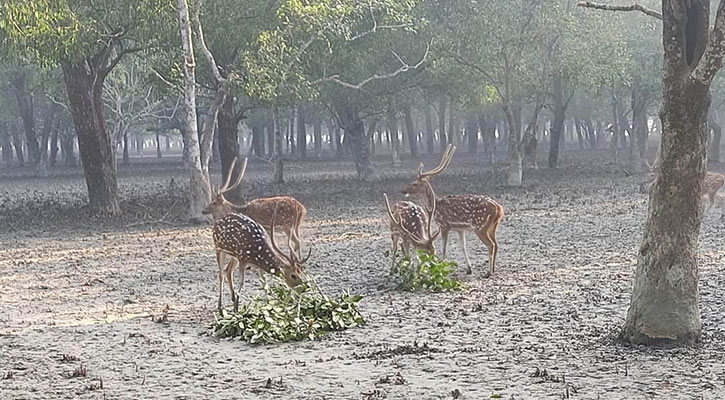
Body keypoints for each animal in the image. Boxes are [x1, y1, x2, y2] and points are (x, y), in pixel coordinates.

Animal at [402, 145, 504, 278]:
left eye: (414, 183)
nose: (403, 190)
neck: (436, 205)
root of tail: (499, 208)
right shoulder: (460, 229)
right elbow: (463, 247)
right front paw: (469, 269)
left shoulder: (444, 225)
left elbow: (444, 248)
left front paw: (441, 267)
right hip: (493, 226)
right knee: (496, 244)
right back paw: (494, 269)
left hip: (480, 226)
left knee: (491, 245)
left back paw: (488, 272)